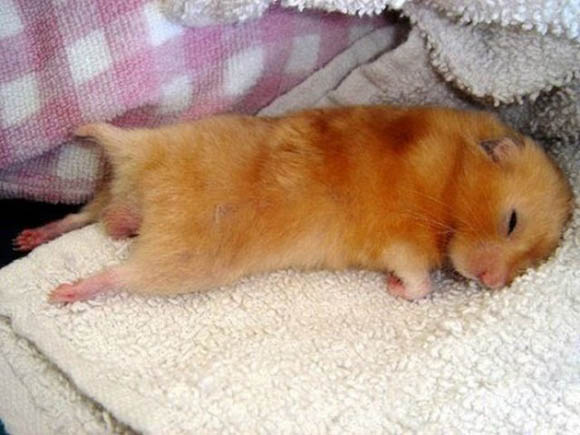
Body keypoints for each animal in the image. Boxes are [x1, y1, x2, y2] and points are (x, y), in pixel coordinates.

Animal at [13, 106, 573, 303]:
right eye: (512, 221)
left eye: (533, 263)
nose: (493, 283)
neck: (451, 180)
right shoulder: (402, 239)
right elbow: (418, 280)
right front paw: (394, 290)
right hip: (186, 258)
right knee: (119, 272)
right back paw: (64, 291)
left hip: (131, 196)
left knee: (83, 216)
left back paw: (39, 236)